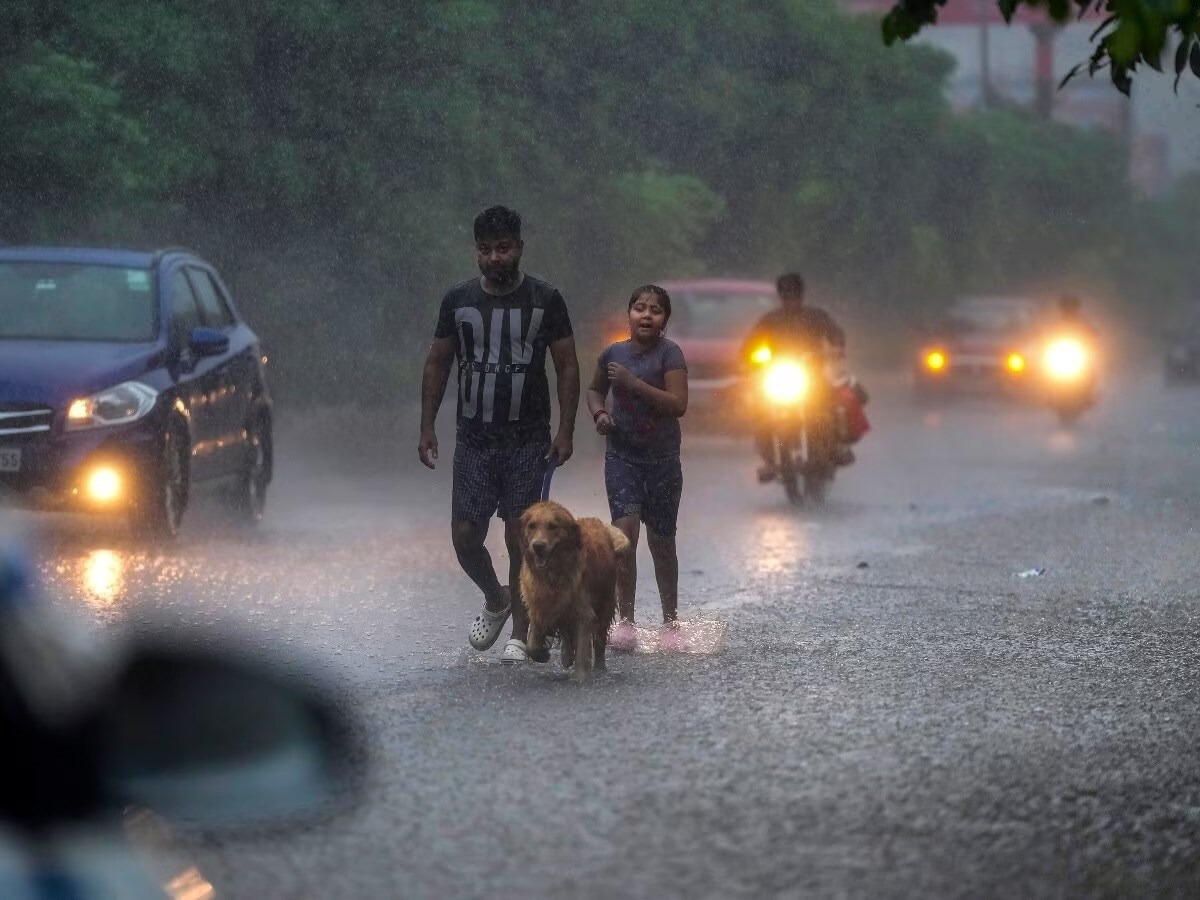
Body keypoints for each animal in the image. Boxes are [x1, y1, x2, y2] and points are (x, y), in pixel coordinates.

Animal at [520, 501, 633, 681]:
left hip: (604, 602)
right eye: (532, 526)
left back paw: (599, 666)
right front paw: (541, 654)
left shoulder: (584, 611)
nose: (537, 546)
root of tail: (598, 522)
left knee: (599, 639)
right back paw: (566, 656)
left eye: (552, 526)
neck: (554, 574)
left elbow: (583, 647)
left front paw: (580, 675)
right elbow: (532, 643)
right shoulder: (539, 605)